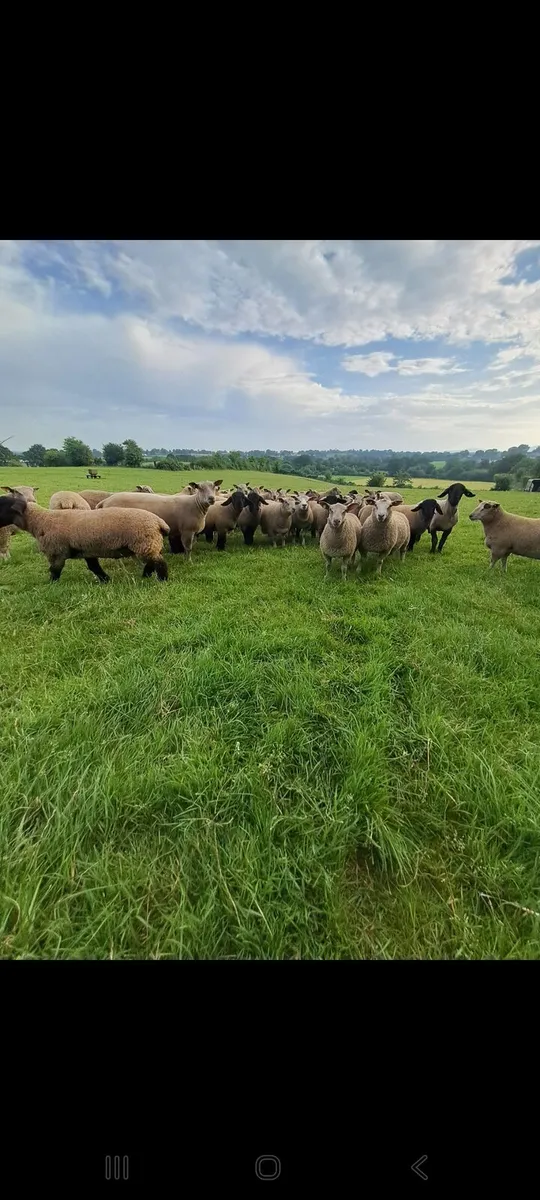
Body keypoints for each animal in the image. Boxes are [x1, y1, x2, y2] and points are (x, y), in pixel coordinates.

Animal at [0, 494, 169, 582]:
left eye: (2, 505)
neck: (40, 521)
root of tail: (159, 522)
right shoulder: (87, 550)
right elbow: (94, 567)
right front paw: (105, 580)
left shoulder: (57, 552)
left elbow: (55, 570)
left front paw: (52, 584)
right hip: (148, 545)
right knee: (152, 562)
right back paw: (146, 576)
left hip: (145, 543)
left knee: (159, 563)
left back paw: (162, 580)